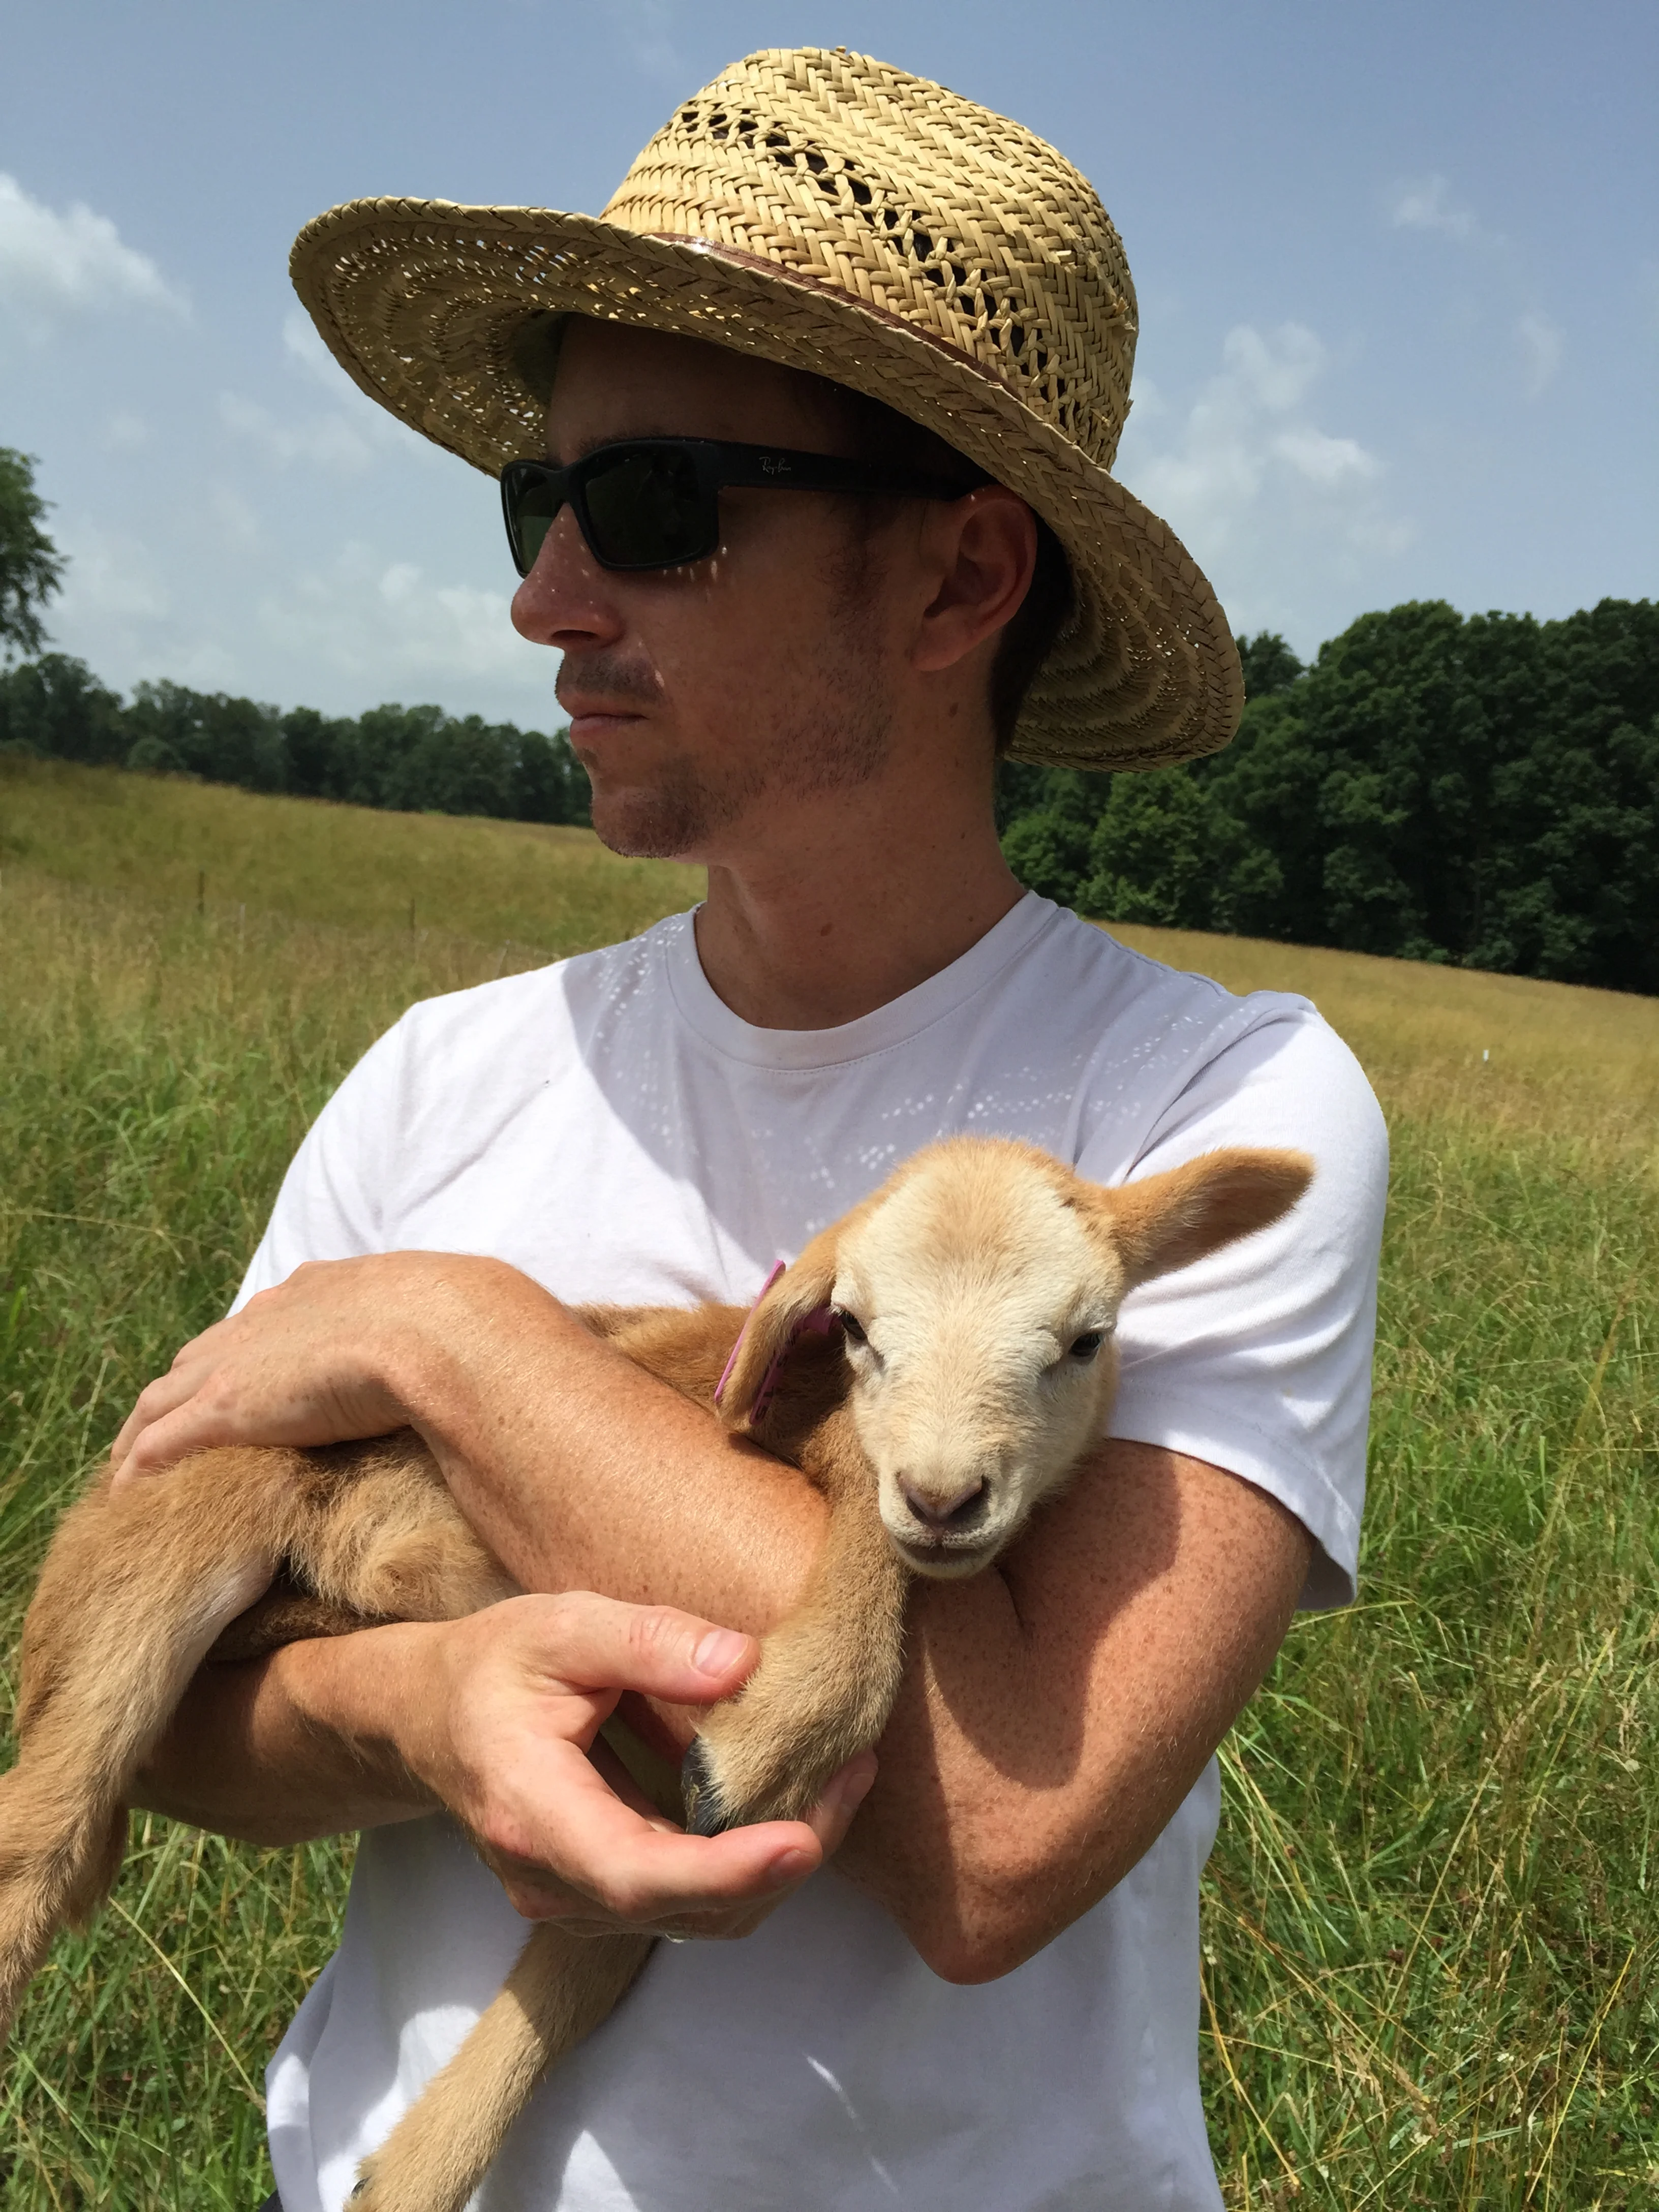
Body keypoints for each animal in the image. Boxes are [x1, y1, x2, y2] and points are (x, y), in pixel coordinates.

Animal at [0, 1134, 1311, 2212]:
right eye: (859, 1331)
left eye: (1086, 1340)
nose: (946, 1497)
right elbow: (852, 1486)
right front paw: (788, 1724)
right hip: (167, 1528)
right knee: (43, 1835)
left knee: (595, 1933)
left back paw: (411, 2168)